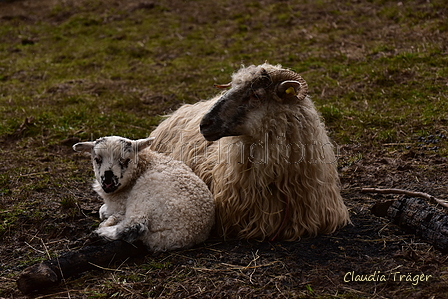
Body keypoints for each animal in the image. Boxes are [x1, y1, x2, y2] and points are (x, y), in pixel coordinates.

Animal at [72, 137, 215, 252]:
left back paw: (101, 232)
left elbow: (105, 211)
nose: (108, 181)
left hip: (145, 196)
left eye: (126, 160)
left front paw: (107, 219)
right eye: (97, 159)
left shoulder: (122, 203)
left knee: (134, 225)